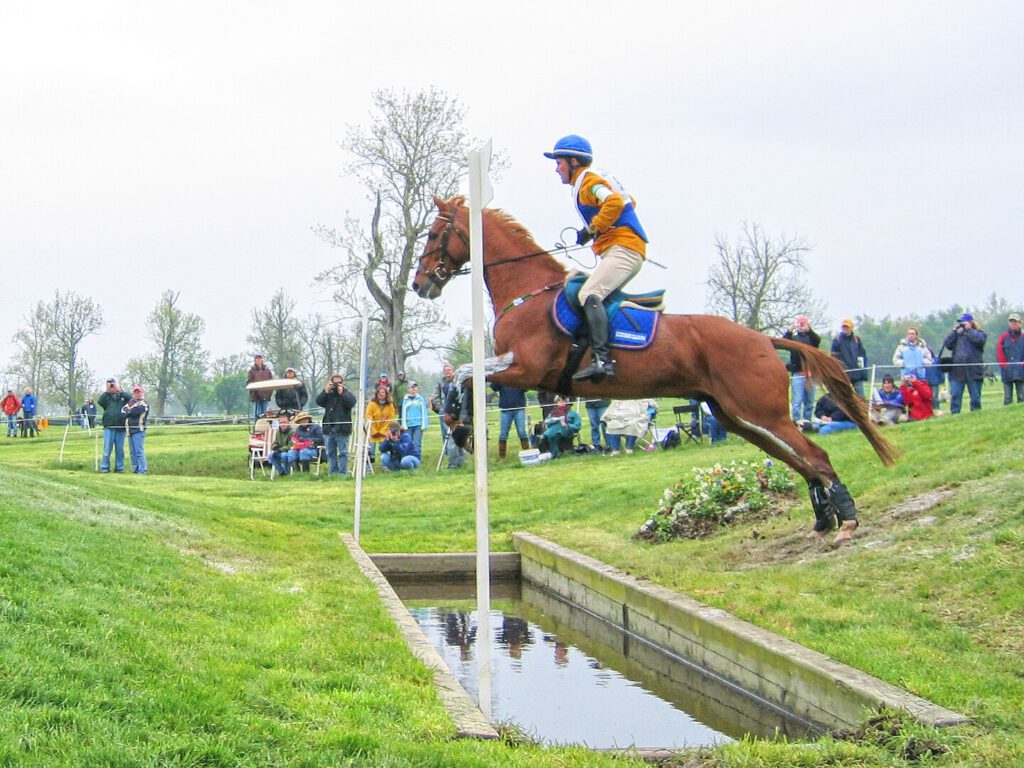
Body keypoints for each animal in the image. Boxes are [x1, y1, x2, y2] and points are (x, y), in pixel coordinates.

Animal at [409, 198, 897, 548]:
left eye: (433, 233)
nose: (420, 283)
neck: (527, 291)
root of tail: (761, 338)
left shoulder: (528, 370)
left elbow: (465, 373)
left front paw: (461, 424)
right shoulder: (520, 371)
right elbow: (464, 375)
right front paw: (460, 424)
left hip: (765, 412)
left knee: (816, 457)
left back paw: (847, 520)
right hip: (735, 416)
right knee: (800, 461)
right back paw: (823, 518)